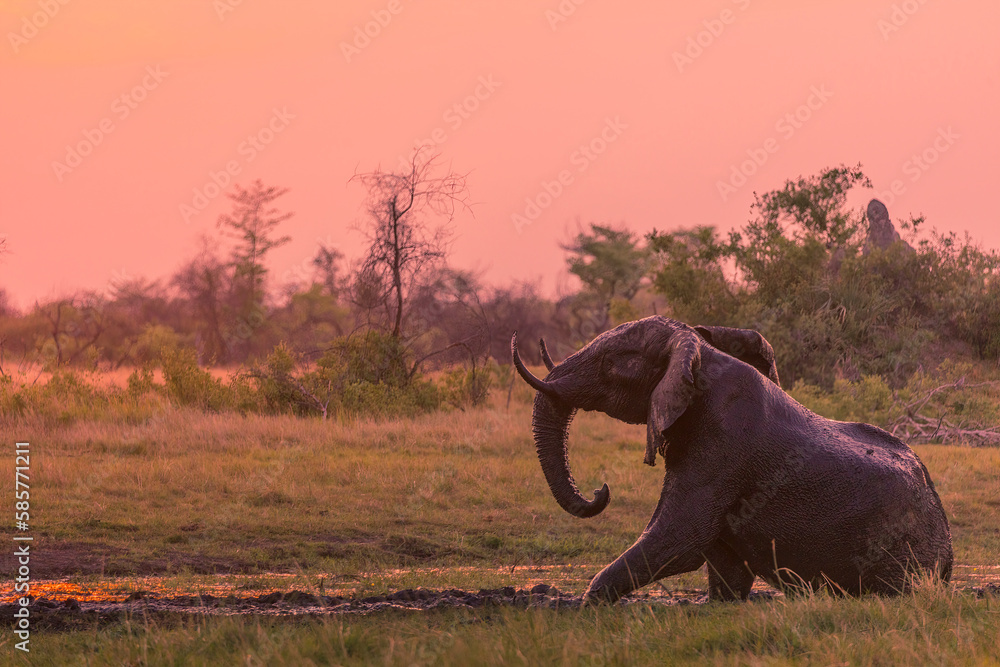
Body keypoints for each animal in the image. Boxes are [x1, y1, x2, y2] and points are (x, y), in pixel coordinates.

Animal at [511, 316, 953, 603]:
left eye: (612, 364)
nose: (600, 491)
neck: (699, 354)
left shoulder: (723, 446)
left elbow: (681, 537)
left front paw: (587, 605)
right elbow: (721, 559)